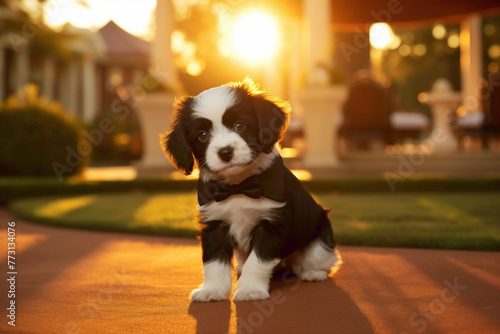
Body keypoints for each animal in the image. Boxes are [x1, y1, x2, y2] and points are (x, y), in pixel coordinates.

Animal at [162, 79, 342, 302]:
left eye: (240, 126)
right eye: (202, 136)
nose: (225, 152)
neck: (239, 187)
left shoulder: (272, 223)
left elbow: (258, 261)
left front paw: (250, 290)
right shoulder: (214, 223)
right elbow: (213, 262)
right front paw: (213, 290)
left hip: (320, 235)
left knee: (321, 257)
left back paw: (313, 272)